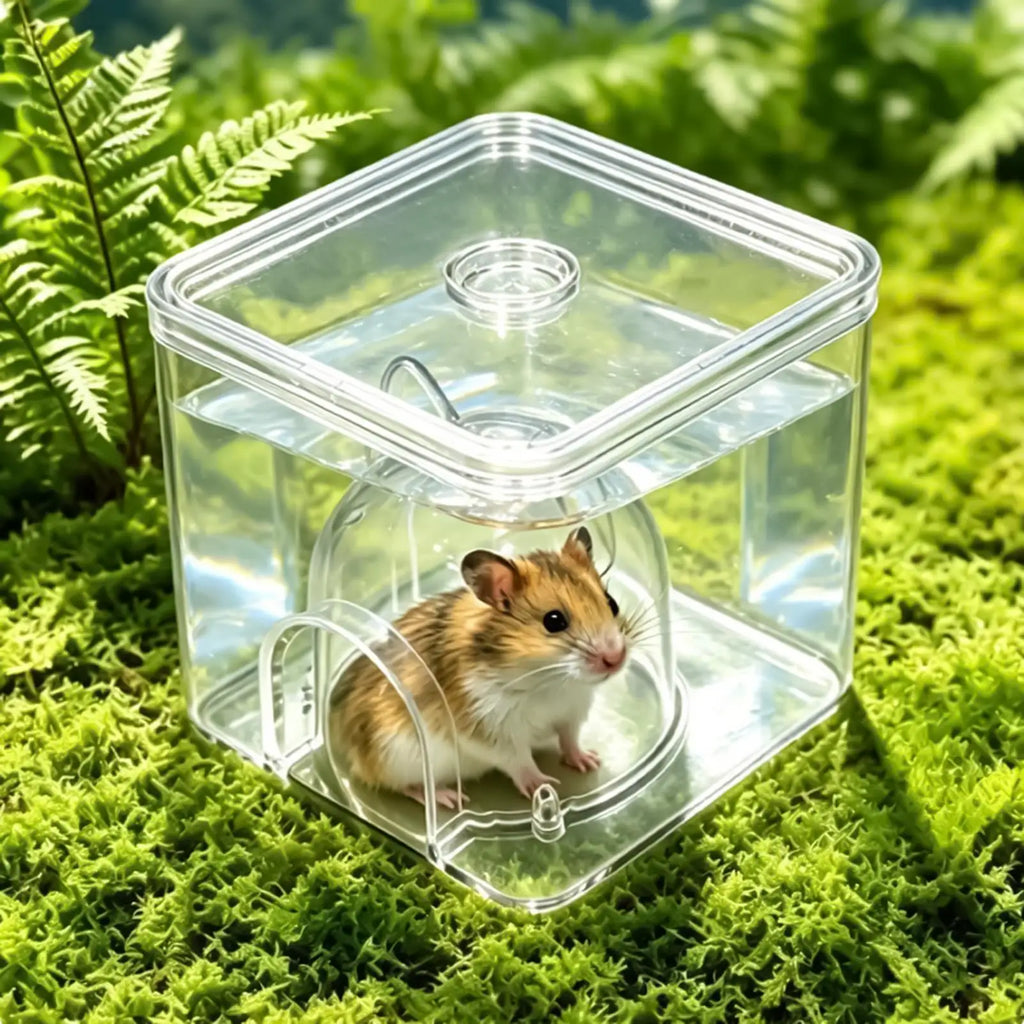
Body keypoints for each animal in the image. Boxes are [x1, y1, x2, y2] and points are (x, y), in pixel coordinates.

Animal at [327, 527, 629, 809]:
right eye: (554, 621)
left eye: (612, 603)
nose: (616, 659)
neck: (550, 680)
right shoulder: (490, 729)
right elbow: (519, 761)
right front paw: (544, 785)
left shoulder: (571, 712)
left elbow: (570, 739)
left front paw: (590, 761)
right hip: (395, 757)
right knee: (400, 785)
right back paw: (448, 798)